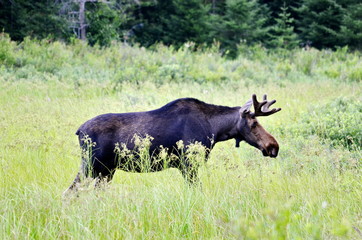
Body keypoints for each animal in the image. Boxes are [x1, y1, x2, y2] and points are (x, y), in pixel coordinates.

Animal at [65, 94, 282, 191]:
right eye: (254, 123)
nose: (273, 146)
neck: (216, 130)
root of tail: (79, 130)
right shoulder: (188, 163)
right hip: (93, 166)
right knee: (70, 191)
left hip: (106, 171)